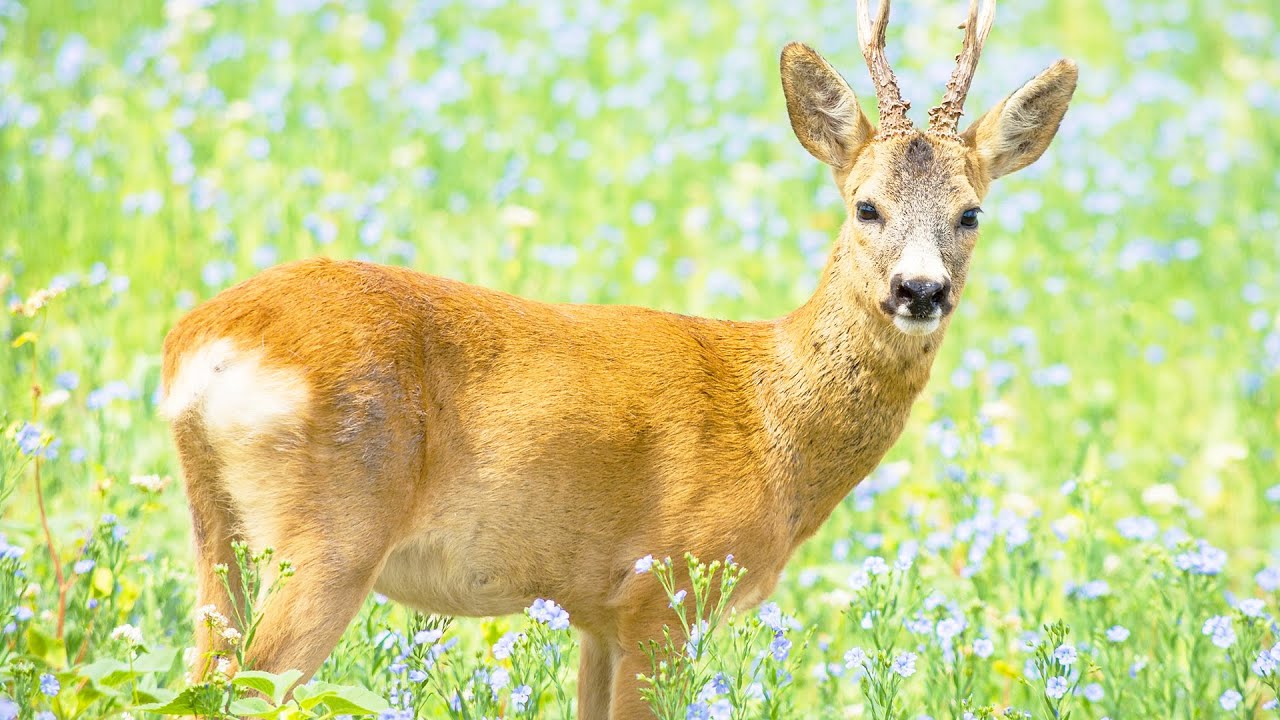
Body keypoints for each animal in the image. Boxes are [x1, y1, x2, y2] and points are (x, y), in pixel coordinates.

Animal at [160, 2, 1080, 712]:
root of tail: (201, 345)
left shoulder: (595, 616)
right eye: (866, 205)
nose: (920, 290)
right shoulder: (664, 594)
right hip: (330, 533)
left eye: (970, 213)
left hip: (220, 529)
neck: (773, 421)